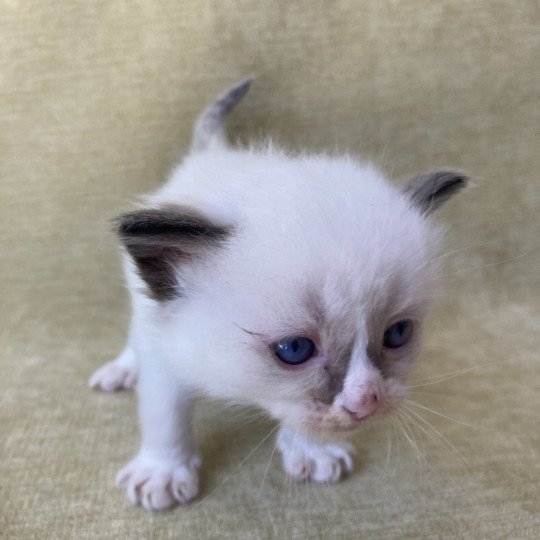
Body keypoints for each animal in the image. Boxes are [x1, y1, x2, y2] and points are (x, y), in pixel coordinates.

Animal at [89, 79, 468, 510]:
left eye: (397, 334)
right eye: (294, 350)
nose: (365, 403)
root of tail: (214, 155)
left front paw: (313, 451)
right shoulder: (165, 350)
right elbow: (164, 415)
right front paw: (162, 473)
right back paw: (121, 370)